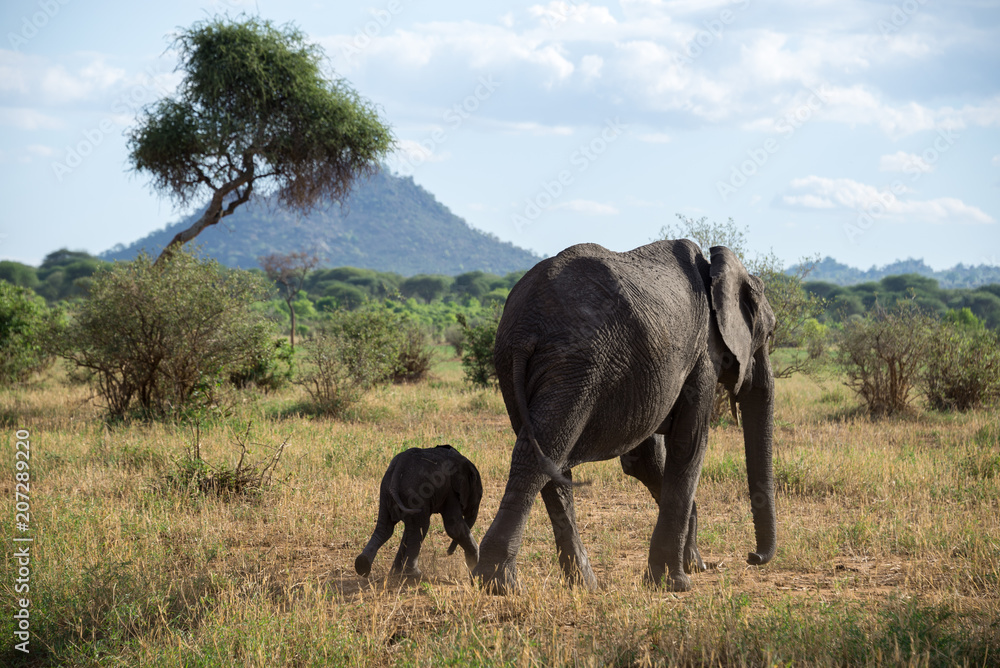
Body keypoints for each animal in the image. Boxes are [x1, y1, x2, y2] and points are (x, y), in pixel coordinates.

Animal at [355, 444, 483, 579]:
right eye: (479, 495)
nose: (448, 553)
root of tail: (399, 466)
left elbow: (408, 530)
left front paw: (396, 574)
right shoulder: (450, 491)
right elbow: (453, 526)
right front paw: (475, 564)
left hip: (385, 490)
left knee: (385, 528)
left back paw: (363, 565)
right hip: (414, 493)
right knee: (422, 526)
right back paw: (415, 575)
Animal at [471, 240, 776, 593]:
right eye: (770, 334)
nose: (752, 557)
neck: (718, 269)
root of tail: (525, 324)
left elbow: (645, 459)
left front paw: (693, 565)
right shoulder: (704, 355)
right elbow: (689, 443)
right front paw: (675, 583)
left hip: (514, 365)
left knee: (548, 460)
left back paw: (584, 585)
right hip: (577, 365)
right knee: (542, 455)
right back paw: (499, 584)